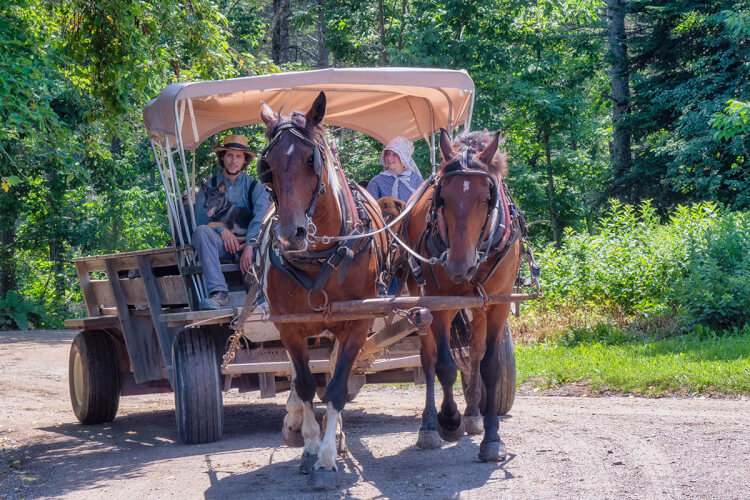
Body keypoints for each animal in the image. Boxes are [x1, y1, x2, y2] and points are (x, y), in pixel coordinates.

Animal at [258, 92, 388, 490]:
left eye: (310, 159)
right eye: (267, 166)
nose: (291, 234)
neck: (319, 258)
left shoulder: (357, 323)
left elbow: (336, 388)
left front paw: (328, 456)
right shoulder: (289, 325)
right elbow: (303, 385)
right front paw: (311, 446)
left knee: (333, 374)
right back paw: (294, 421)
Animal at [406, 129, 524, 460]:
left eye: (486, 199)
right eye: (442, 199)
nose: (459, 267)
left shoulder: (498, 304)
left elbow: (489, 366)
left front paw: (492, 438)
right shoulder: (439, 302)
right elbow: (444, 366)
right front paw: (448, 419)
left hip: (478, 307)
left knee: (473, 355)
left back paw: (473, 414)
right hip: (421, 302)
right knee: (429, 359)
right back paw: (430, 426)